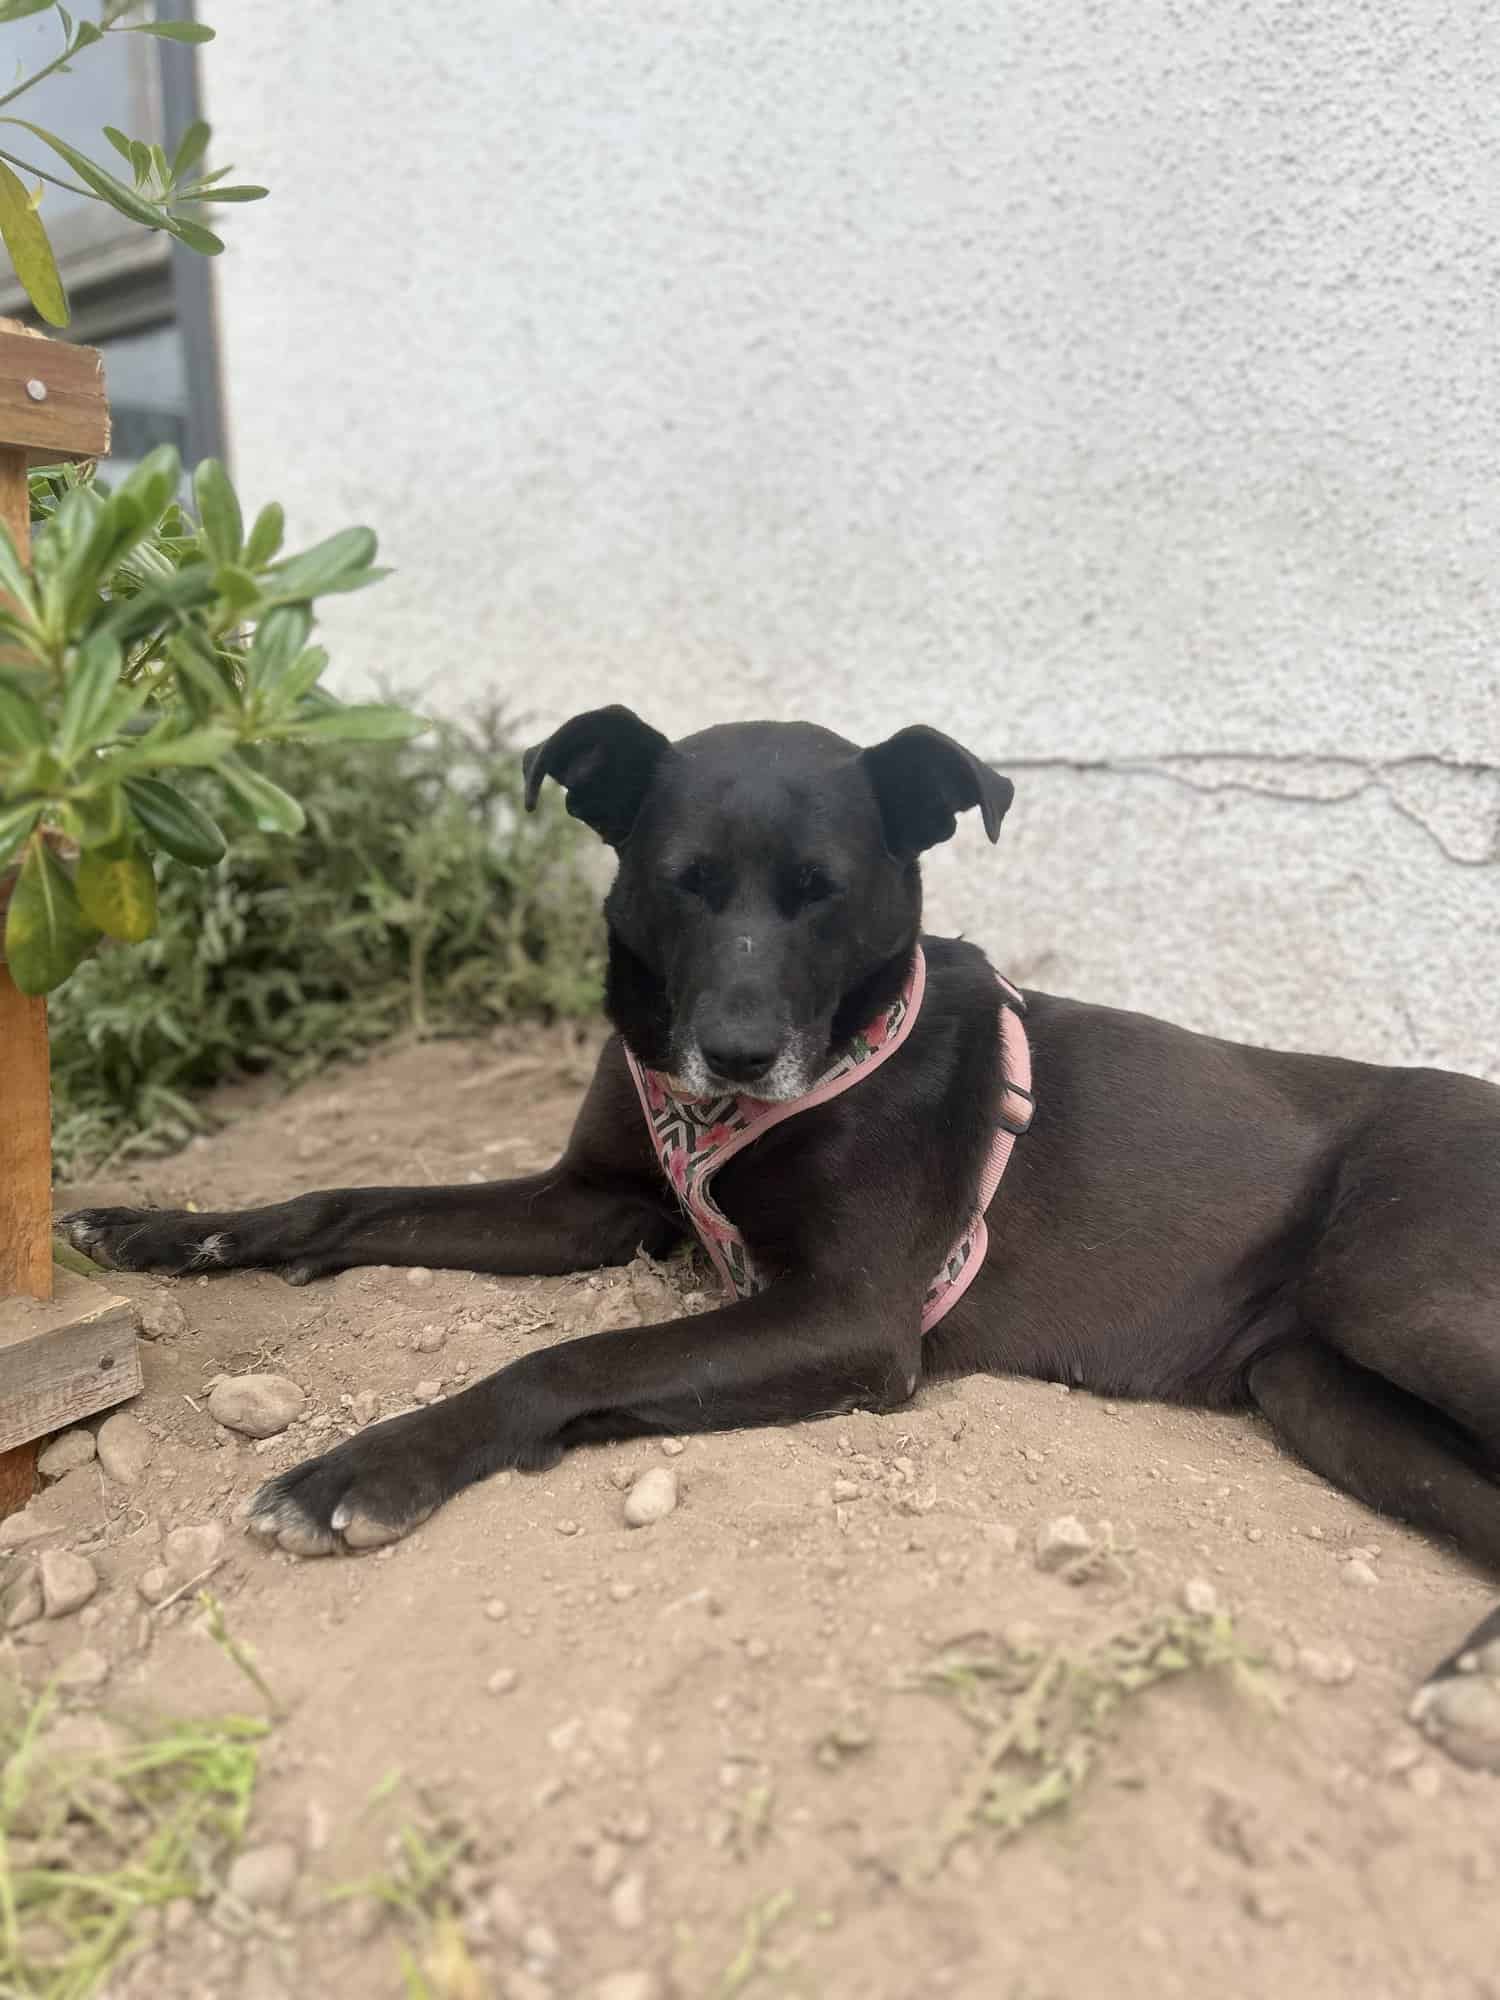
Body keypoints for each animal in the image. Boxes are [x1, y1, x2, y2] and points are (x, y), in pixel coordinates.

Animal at [58, 708, 1500, 1768]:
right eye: (683, 885)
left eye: (824, 893)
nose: (742, 1053)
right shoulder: (590, 1202)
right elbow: (343, 1201)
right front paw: (158, 1228)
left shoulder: (849, 1319)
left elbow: (562, 1363)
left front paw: (367, 1465)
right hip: (1317, 1386)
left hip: (1395, 1295)